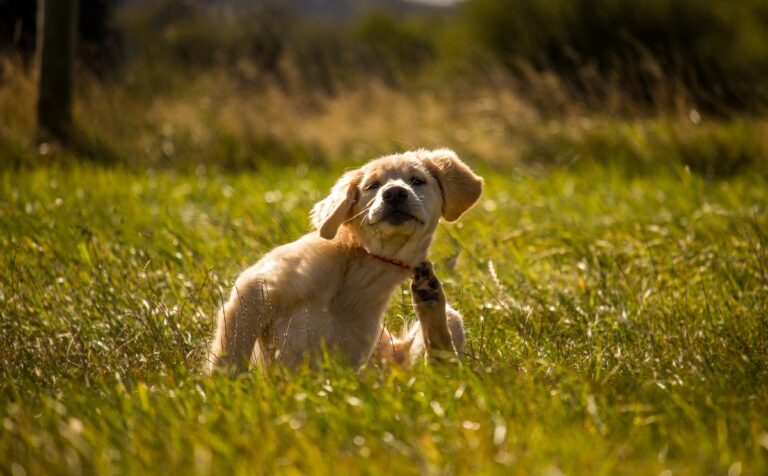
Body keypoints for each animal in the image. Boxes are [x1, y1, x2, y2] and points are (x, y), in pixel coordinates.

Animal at [207, 147, 484, 374]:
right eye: (373, 185)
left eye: (417, 181)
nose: (394, 193)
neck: (361, 266)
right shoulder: (256, 287)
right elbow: (230, 352)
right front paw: (223, 388)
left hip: (441, 328)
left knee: (440, 366)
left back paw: (428, 294)